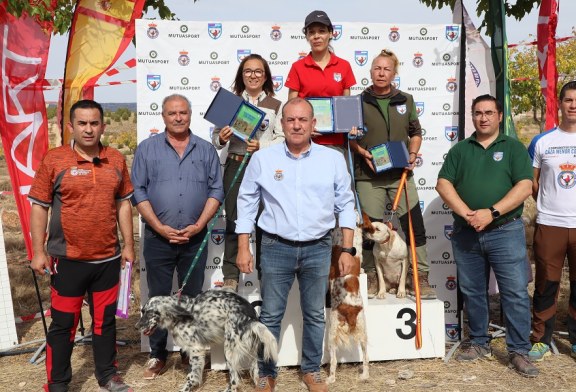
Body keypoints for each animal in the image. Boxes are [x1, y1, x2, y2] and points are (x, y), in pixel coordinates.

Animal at [136, 290, 278, 390]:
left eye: (150, 312)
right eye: (143, 311)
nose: (137, 326)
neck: (179, 312)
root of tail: (250, 315)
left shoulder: (196, 349)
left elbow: (192, 376)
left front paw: (186, 388)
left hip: (229, 350)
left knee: (234, 380)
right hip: (252, 351)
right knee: (255, 372)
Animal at [326, 243, 372, 384]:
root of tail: (351, 310)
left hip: (332, 334)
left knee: (334, 361)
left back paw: (330, 378)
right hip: (363, 332)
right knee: (366, 358)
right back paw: (364, 375)